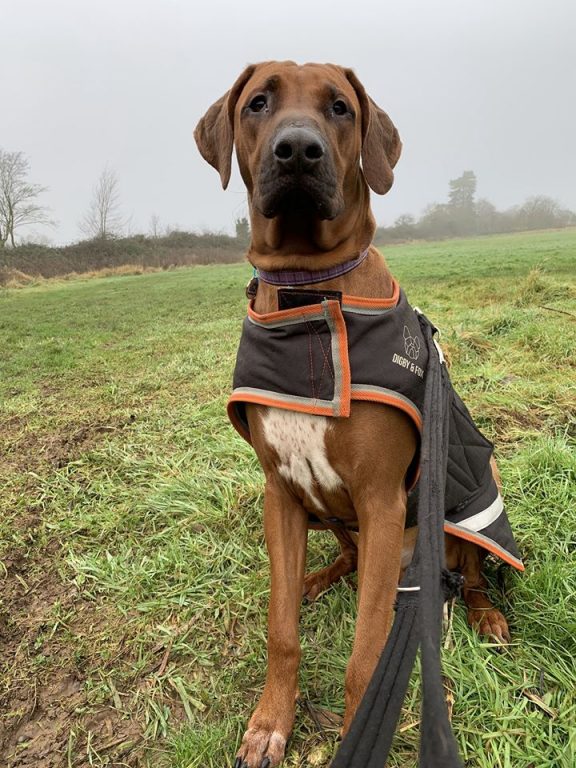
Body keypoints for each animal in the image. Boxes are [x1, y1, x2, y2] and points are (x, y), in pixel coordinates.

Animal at [195, 64, 520, 768]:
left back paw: (483, 615)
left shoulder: (381, 498)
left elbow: (366, 653)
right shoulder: (281, 492)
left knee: (471, 573)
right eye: (258, 102)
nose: (297, 150)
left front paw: (357, 732)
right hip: (328, 514)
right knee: (346, 562)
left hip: (461, 507)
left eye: (340, 108)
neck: (309, 295)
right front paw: (271, 720)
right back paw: (317, 578)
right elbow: (281, 629)